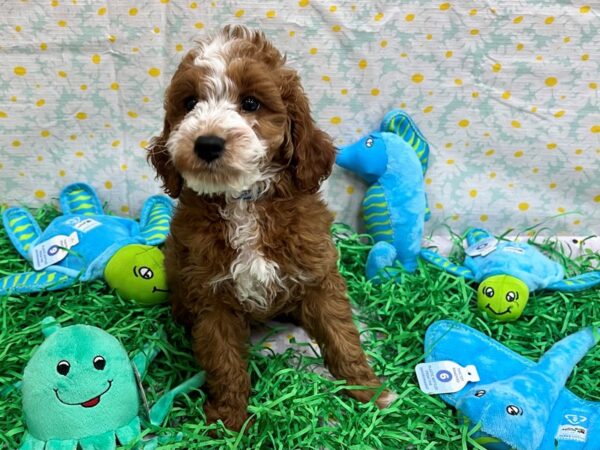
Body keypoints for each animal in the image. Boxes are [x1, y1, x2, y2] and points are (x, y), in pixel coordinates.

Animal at [148, 25, 396, 432]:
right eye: (189, 103)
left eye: (250, 103)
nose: (207, 143)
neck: (243, 200)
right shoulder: (211, 296)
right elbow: (224, 360)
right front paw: (230, 421)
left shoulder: (318, 275)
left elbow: (342, 335)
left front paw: (370, 391)